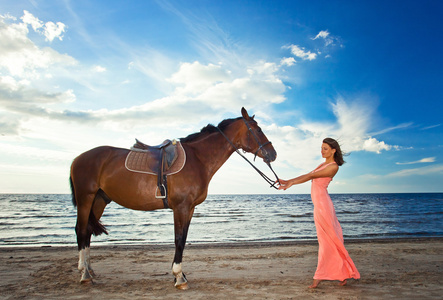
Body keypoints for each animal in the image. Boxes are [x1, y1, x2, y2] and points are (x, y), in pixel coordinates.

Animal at [69, 107, 278, 288]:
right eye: (258, 129)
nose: (273, 154)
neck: (197, 159)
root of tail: (77, 159)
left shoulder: (190, 208)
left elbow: (183, 239)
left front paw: (181, 275)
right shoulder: (181, 207)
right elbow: (178, 239)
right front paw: (179, 277)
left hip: (99, 200)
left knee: (88, 231)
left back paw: (89, 269)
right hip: (85, 198)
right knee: (81, 230)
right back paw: (84, 273)